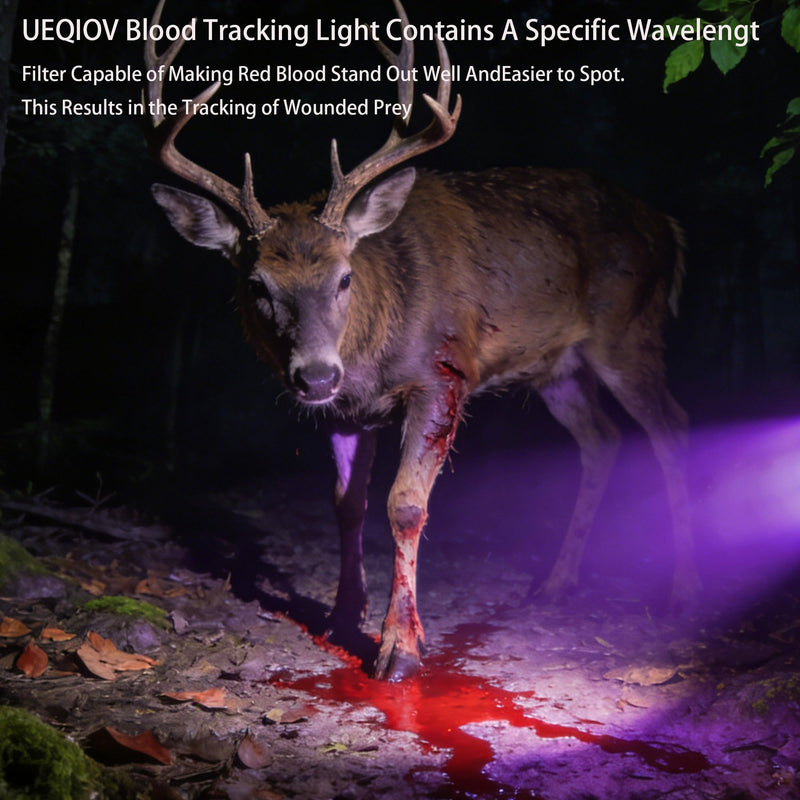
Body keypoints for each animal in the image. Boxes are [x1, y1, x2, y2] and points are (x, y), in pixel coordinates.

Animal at [145, 0, 700, 681]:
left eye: (344, 277)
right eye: (256, 284)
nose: (315, 376)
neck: (371, 351)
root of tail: (669, 227)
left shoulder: (443, 372)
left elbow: (404, 503)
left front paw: (399, 649)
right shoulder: (348, 411)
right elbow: (346, 503)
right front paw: (341, 614)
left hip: (629, 333)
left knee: (672, 427)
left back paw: (682, 591)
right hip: (558, 368)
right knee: (602, 438)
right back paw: (557, 582)